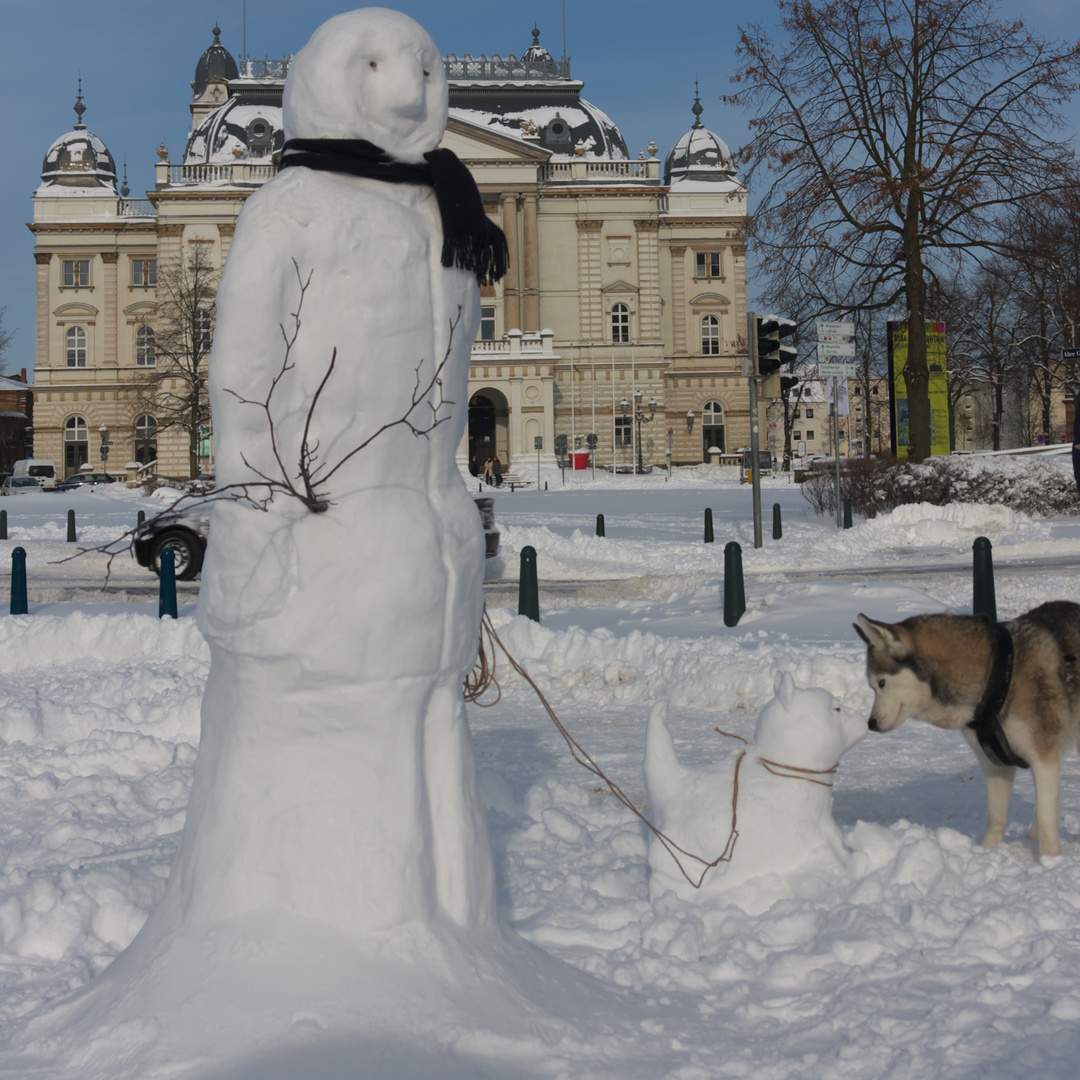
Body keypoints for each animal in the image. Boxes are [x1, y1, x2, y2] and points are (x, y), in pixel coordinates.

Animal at [855, 604, 1080, 855]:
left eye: (881, 683)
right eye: (871, 686)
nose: (871, 723)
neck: (995, 678)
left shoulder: (1043, 758)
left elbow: (1046, 818)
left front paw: (1050, 858)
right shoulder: (995, 761)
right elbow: (997, 817)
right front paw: (987, 851)